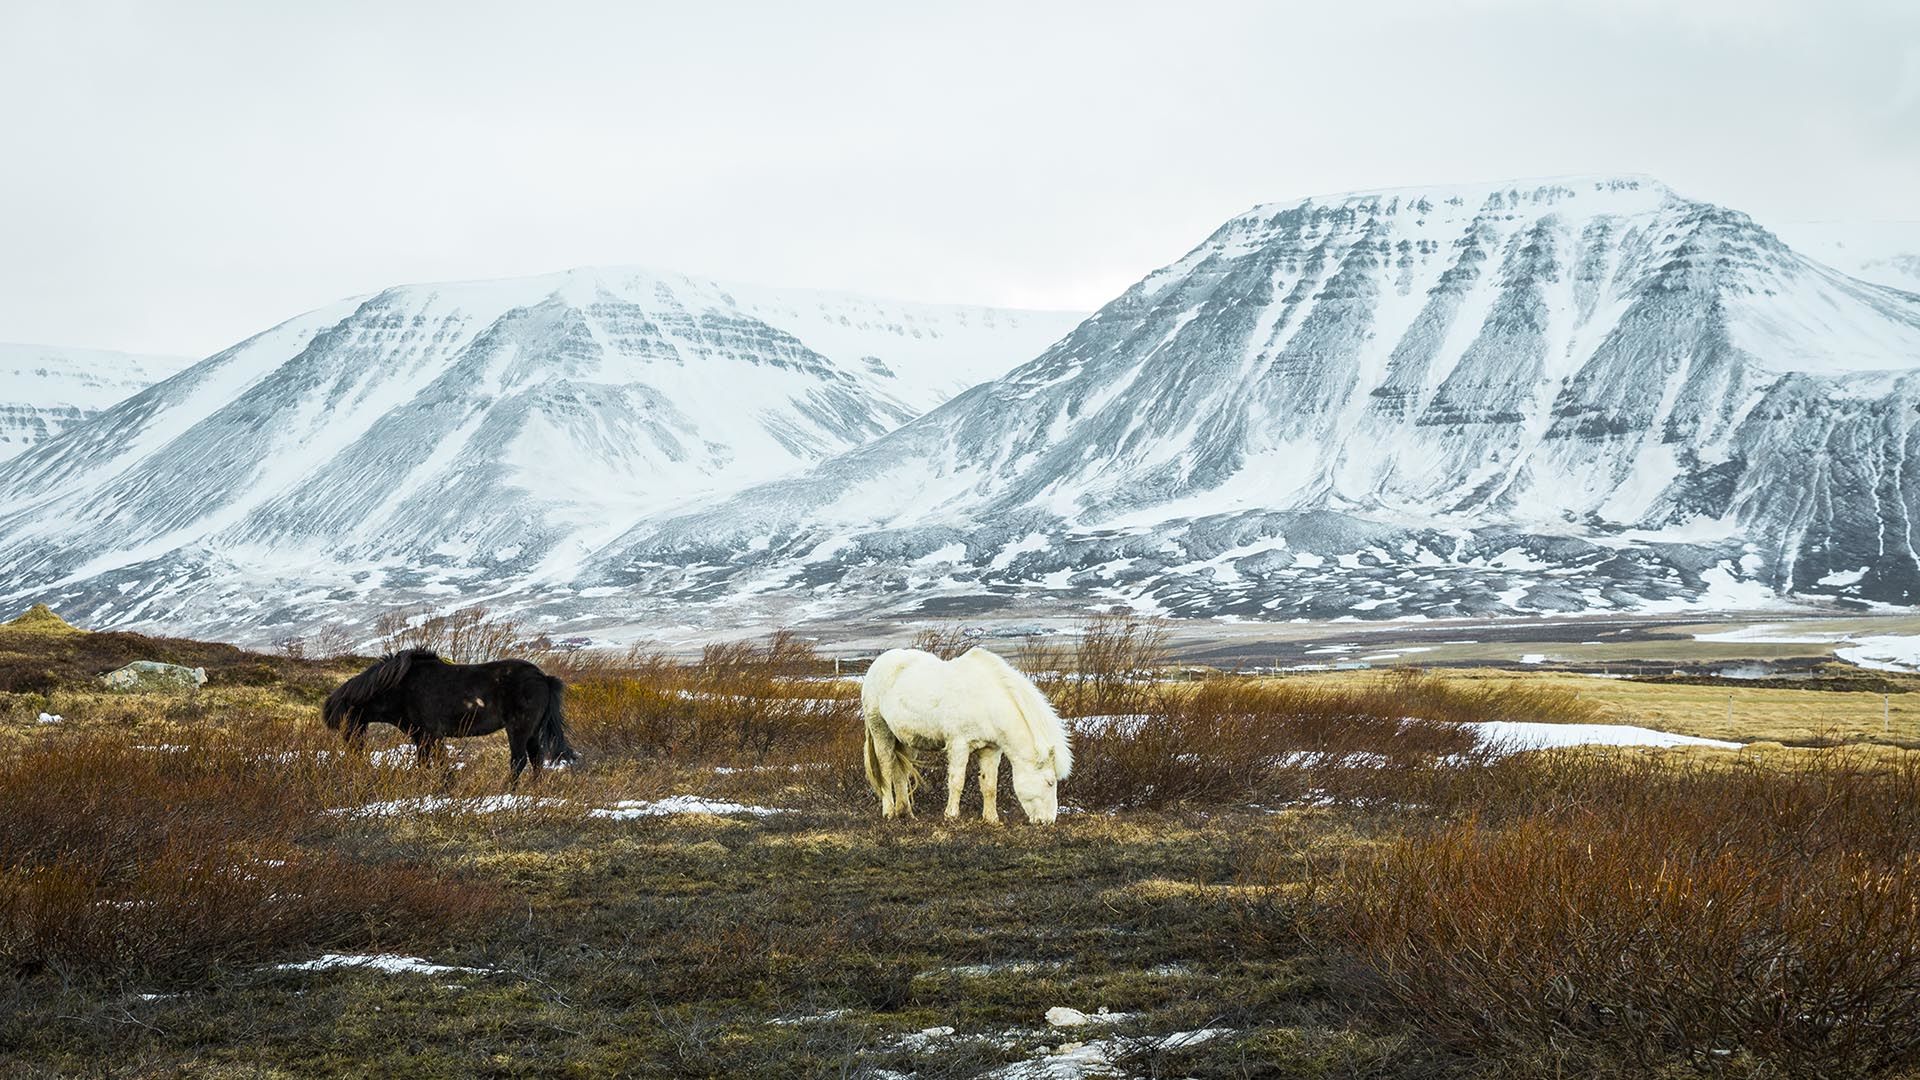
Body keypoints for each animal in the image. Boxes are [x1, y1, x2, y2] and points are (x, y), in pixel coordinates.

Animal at [326, 645, 576, 780]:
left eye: (346, 720)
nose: (355, 752)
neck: (402, 687)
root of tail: (543, 677)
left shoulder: (432, 734)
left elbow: (440, 762)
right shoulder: (420, 737)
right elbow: (424, 763)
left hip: (519, 728)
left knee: (519, 760)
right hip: (532, 731)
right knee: (536, 759)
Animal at [864, 645, 1075, 822]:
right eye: (1050, 782)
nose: (1048, 821)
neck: (987, 700)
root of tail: (878, 663)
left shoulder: (991, 750)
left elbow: (989, 785)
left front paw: (991, 819)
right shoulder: (959, 745)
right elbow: (957, 781)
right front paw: (951, 816)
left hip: (906, 740)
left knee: (901, 772)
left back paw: (905, 813)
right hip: (880, 730)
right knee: (886, 768)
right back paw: (889, 812)